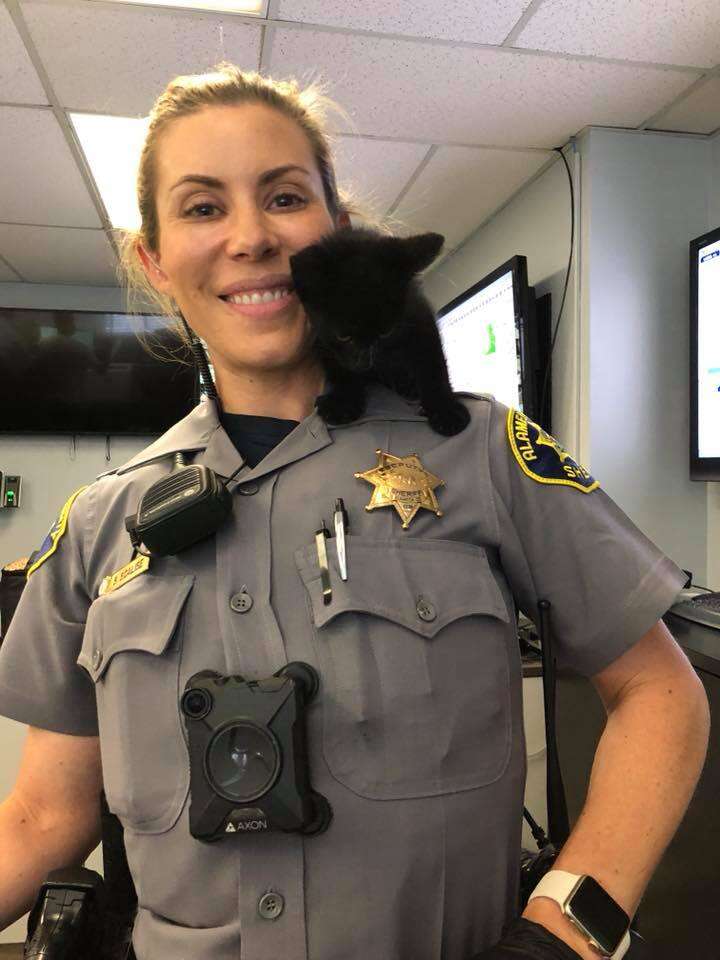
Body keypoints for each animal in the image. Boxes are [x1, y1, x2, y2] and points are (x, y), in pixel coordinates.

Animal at [290, 225, 470, 438]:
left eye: (386, 332)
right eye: (343, 336)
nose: (365, 364)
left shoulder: (419, 317)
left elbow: (432, 364)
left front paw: (446, 410)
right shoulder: (321, 340)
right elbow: (338, 369)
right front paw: (343, 402)